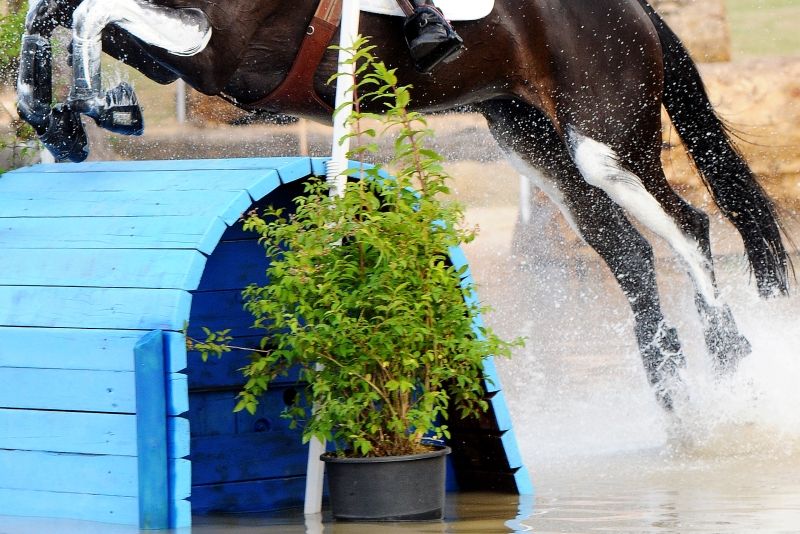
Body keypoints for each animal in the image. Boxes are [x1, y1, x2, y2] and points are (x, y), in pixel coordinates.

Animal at [16, 0, 792, 410]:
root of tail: (637, 9)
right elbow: (53, 14)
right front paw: (56, 119)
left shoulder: (219, 44)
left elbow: (88, 11)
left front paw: (101, 107)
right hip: (530, 138)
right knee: (627, 251)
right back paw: (675, 401)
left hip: (605, 134)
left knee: (689, 225)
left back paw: (731, 363)